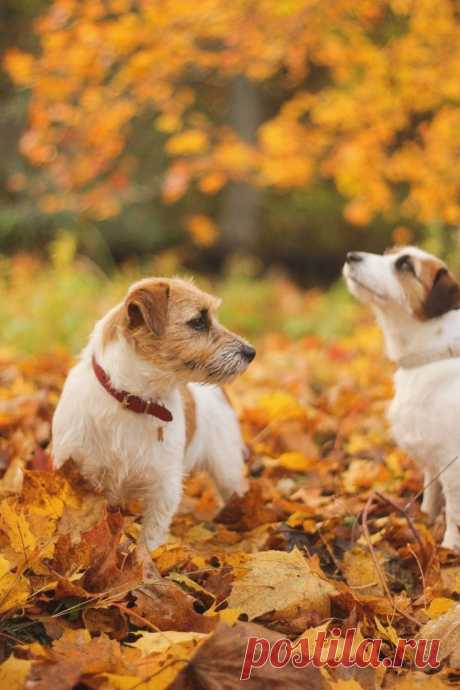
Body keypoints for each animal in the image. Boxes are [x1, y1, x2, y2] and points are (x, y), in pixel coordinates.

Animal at [53, 276, 256, 552]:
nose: (251, 352)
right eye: (199, 321)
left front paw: (144, 562)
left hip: (227, 470)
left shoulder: (164, 488)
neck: (134, 400)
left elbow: (149, 540)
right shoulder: (78, 475)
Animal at [344, 246, 460, 548]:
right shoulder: (433, 459)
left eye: (406, 265)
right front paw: (425, 520)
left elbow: (454, 513)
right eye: (389, 254)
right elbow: (431, 494)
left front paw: (449, 548)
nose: (351, 256)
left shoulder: (453, 464)